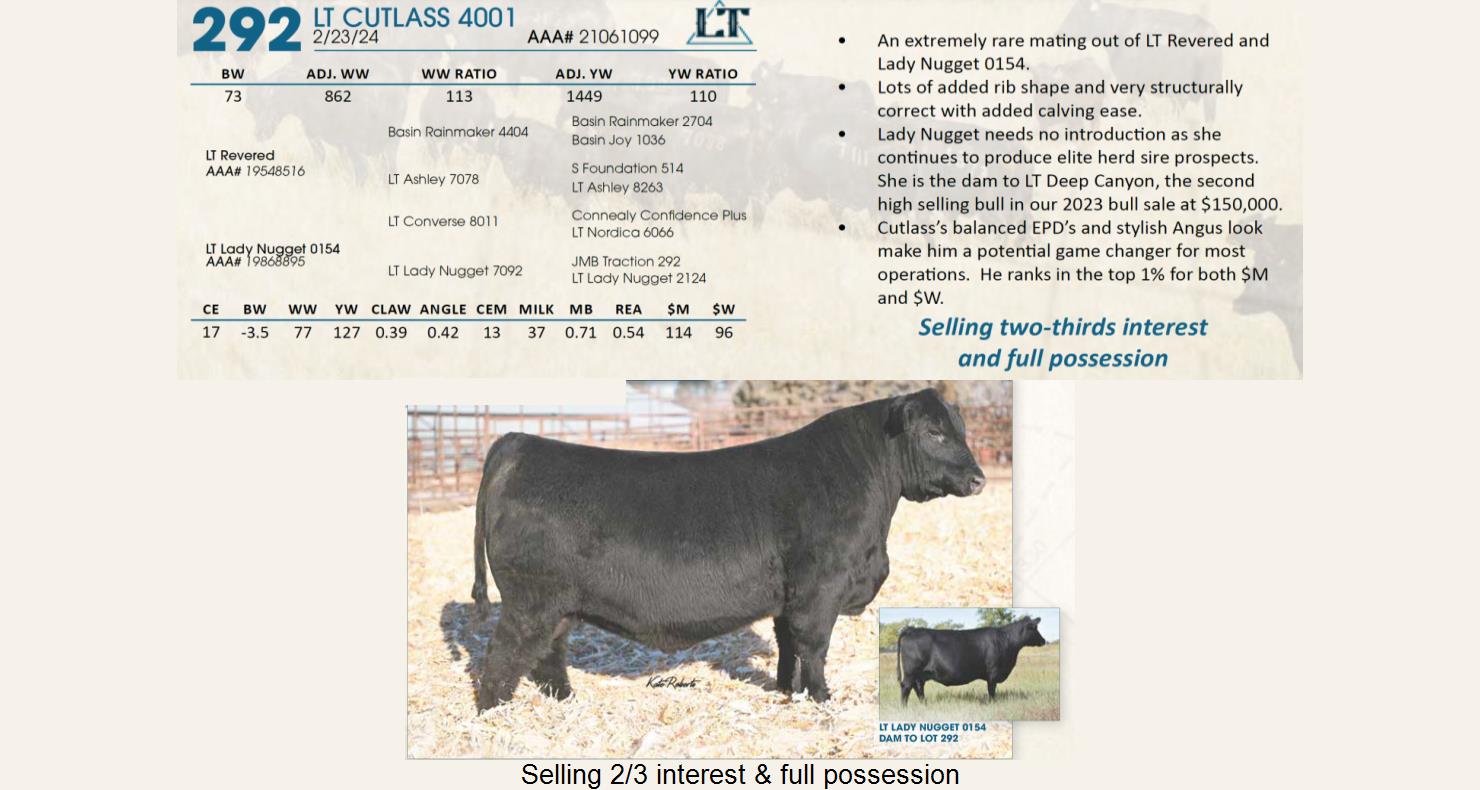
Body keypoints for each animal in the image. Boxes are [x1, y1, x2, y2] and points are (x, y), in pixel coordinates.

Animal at [469, 388, 986, 711]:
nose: (978, 479)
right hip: (530, 600)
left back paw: (565, 700)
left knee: (549, 652)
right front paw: (822, 699)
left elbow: (788, 645)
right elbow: (814, 647)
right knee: (503, 656)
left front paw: (787, 691)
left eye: (960, 429)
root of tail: (518, 442)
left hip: (559, 604)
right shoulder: (821, 588)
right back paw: (494, 713)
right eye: (934, 433)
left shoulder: (789, 595)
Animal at [896, 618, 1048, 705]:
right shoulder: (993, 672)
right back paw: (904, 707)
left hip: (920, 674)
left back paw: (924, 704)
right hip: (911, 672)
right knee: (906, 687)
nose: (1043, 640)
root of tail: (911, 629)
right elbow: (991, 690)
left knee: (918, 687)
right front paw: (992, 703)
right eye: (1035, 629)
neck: (1007, 641)